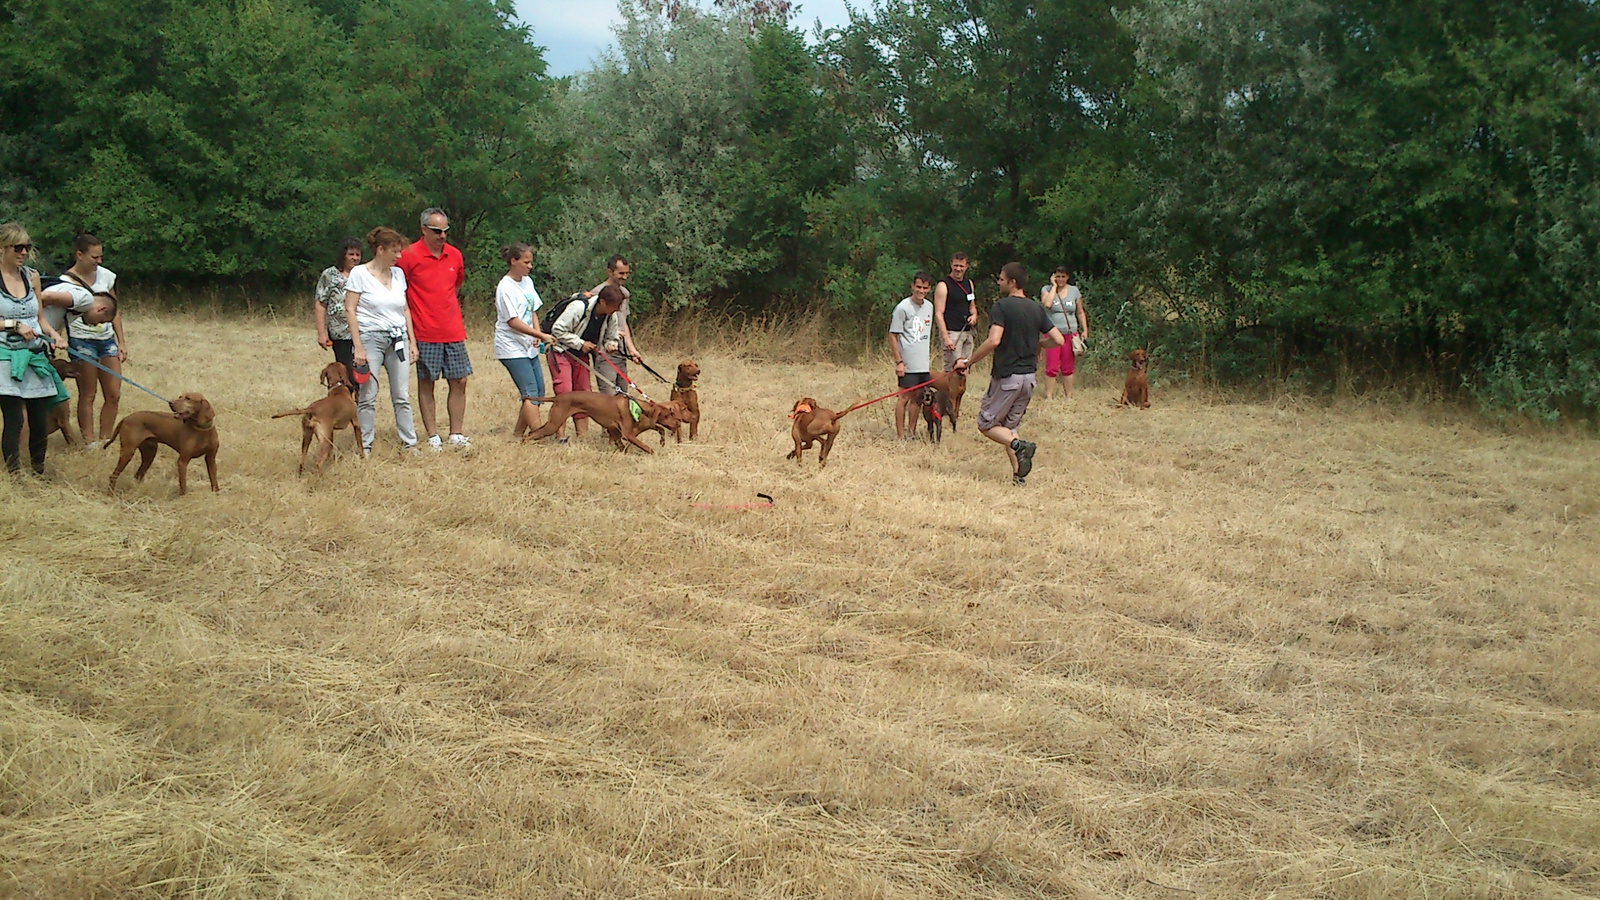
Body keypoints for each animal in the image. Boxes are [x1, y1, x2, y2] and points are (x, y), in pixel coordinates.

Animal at [521, 389, 678, 451]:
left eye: (672, 414)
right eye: (668, 415)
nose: (677, 424)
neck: (640, 408)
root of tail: (557, 397)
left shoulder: (621, 432)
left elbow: (660, 429)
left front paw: (662, 441)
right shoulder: (628, 434)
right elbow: (646, 447)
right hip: (553, 424)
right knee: (531, 434)